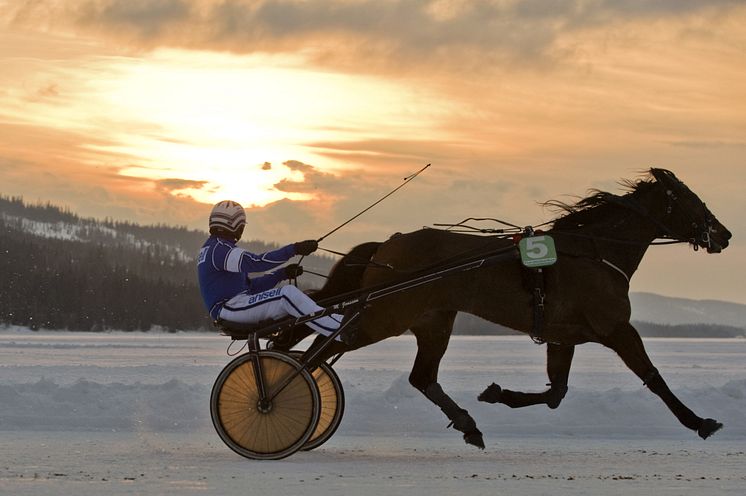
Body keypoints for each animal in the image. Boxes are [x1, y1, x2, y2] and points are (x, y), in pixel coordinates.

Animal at [294, 169, 728, 448]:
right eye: (691, 200)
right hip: (385, 315)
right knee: (321, 348)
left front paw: (496, 393)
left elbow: (556, 394)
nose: (724, 234)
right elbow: (653, 378)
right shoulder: (616, 327)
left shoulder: (562, 336)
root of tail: (388, 243)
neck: (596, 252)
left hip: (433, 320)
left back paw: (468, 424)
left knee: (421, 377)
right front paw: (699, 421)